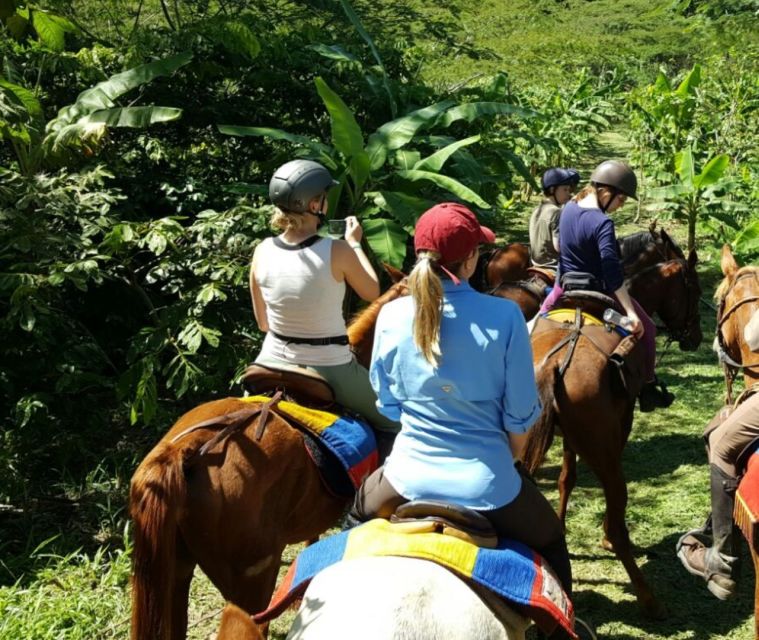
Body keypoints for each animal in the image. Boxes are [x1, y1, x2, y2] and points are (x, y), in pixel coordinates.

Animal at [524, 251, 704, 620]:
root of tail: (552, 364)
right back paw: (649, 598)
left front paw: (561, 529)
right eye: (694, 290)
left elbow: (566, 478)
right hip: (606, 460)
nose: (696, 337)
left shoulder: (569, 437)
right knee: (618, 529)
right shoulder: (623, 420)